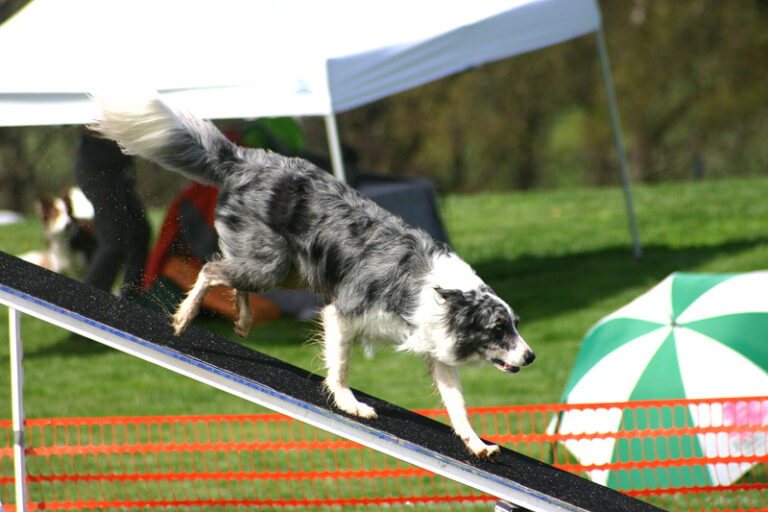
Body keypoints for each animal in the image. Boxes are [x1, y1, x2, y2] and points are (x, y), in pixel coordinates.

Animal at [93, 97, 536, 460]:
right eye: (499, 329)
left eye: (514, 325)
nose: (531, 356)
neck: (444, 292)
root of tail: (246, 159)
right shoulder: (343, 312)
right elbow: (339, 367)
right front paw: (351, 404)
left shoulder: (434, 346)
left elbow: (457, 405)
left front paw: (477, 444)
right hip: (270, 264)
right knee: (210, 268)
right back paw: (186, 316)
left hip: (287, 271)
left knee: (233, 277)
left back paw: (244, 320)